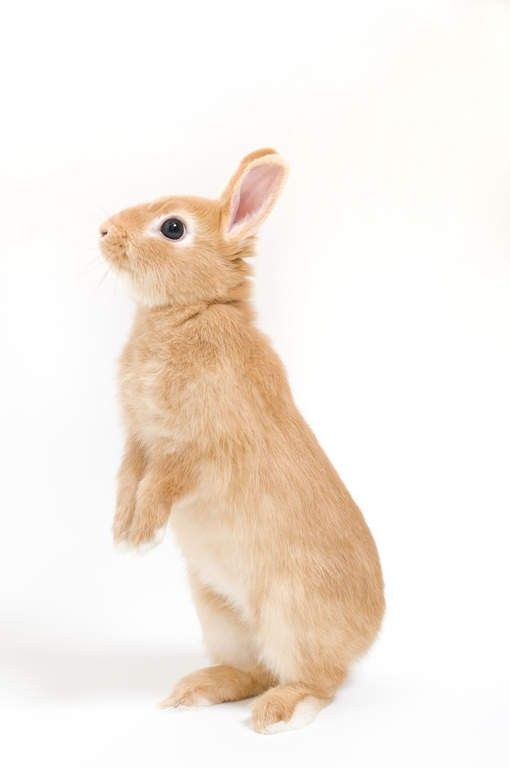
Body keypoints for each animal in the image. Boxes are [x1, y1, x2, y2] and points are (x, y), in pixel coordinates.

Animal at [99, 148, 384, 732]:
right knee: (254, 671)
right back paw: (195, 690)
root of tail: (367, 634)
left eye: (173, 228)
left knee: (318, 681)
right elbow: (128, 479)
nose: (105, 231)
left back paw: (280, 712)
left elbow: (159, 485)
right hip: (218, 610)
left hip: (292, 614)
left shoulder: (194, 448)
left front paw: (142, 537)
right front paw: (121, 534)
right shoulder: (138, 439)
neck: (189, 312)